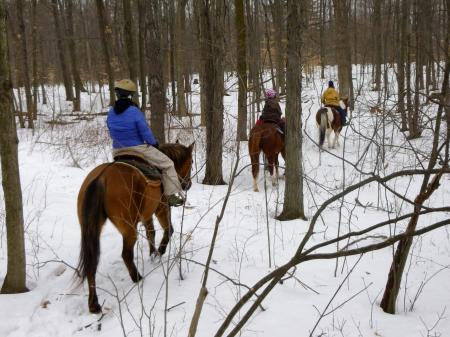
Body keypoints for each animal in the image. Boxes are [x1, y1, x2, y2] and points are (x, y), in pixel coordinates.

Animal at [76, 140, 192, 312]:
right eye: (191, 162)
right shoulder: (161, 208)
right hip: (129, 228)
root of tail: (101, 177)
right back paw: (137, 277)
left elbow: (151, 232)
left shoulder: (146, 214)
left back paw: (94, 303)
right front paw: (159, 252)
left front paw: (153, 253)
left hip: (91, 229)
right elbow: (168, 230)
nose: (188, 185)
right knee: (126, 254)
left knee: (92, 262)